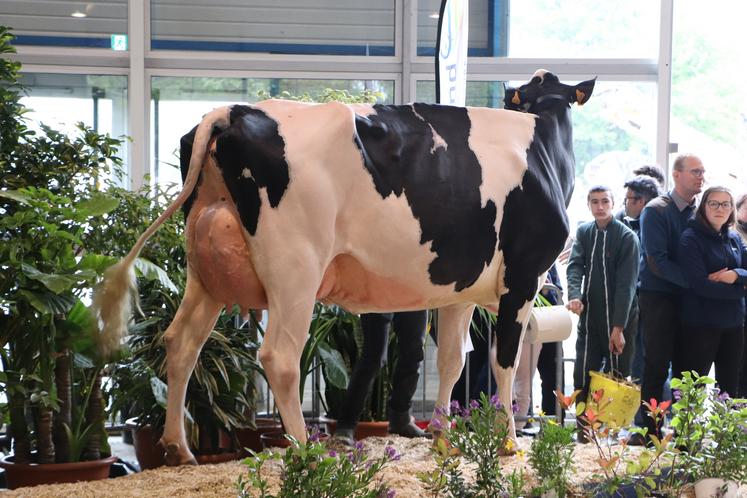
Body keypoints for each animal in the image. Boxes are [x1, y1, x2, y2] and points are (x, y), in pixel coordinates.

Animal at [93, 68, 596, 464]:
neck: (542, 146)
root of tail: (234, 111)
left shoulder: (459, 289)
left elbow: (454, 363)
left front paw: (441, 439)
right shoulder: (523, 279)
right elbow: (504, 362)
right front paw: (508, 442)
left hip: (205, 270)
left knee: (181, 342)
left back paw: (179, 449)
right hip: (295, 268)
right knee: (279, 357)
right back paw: (302, 449)